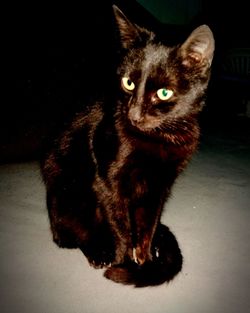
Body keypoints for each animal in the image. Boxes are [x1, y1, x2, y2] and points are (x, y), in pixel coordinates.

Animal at [40, 4, 214, 286]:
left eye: (163, 93)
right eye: (128, 83)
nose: (133, 114)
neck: (159, 137)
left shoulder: (159, 187)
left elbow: (147, 226)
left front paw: (145, 260)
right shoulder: (109, 183)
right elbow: (120, 227)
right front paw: (125, 263)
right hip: (68, 191)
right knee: (69, 235)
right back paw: (98, 251)